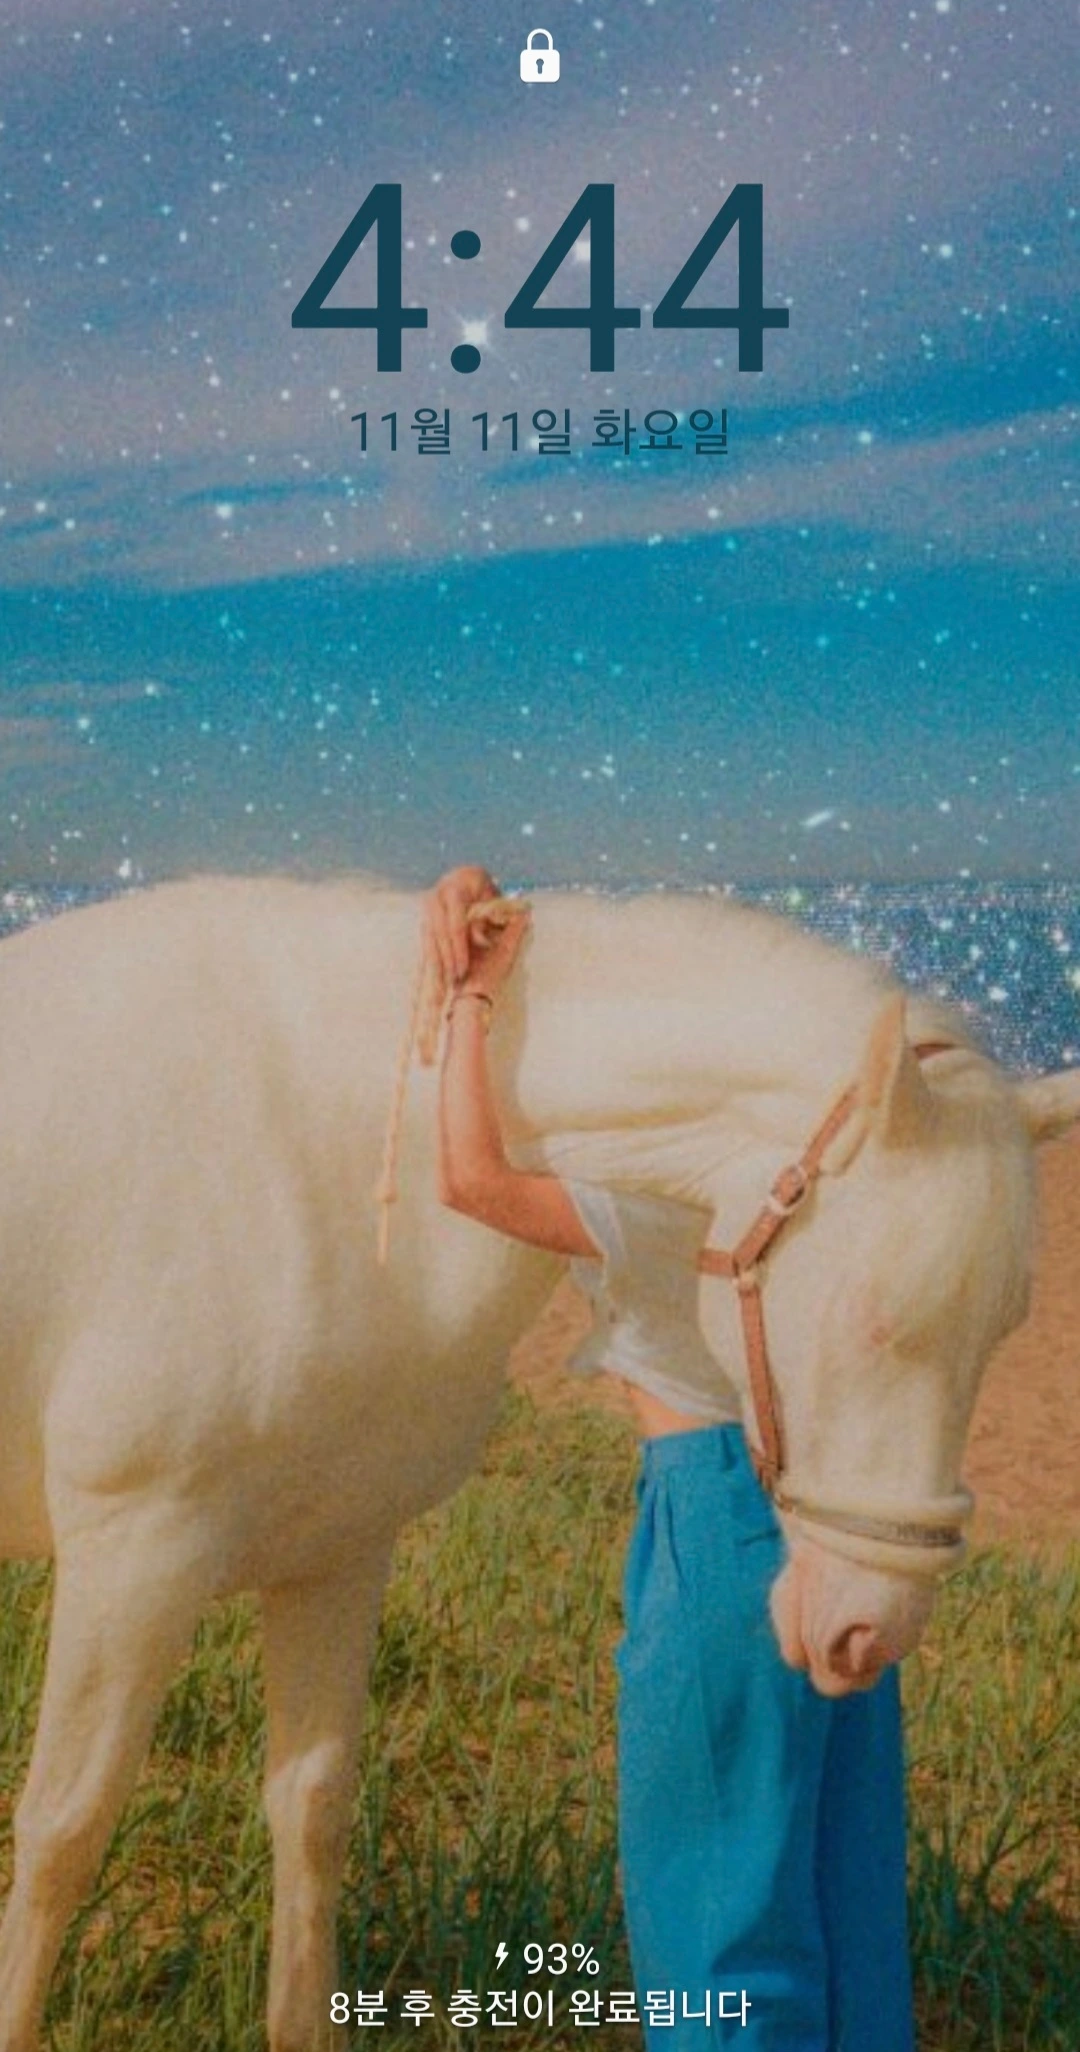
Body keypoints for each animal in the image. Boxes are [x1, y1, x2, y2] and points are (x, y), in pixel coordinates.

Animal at [0, 875, 1075, 2052]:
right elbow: (61, 1834)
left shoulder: (337, 1553)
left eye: (1003, 1330)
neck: (324, 1145)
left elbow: (311, 1811)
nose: (869, 1630)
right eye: (875, 1319)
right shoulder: (134, 1559)